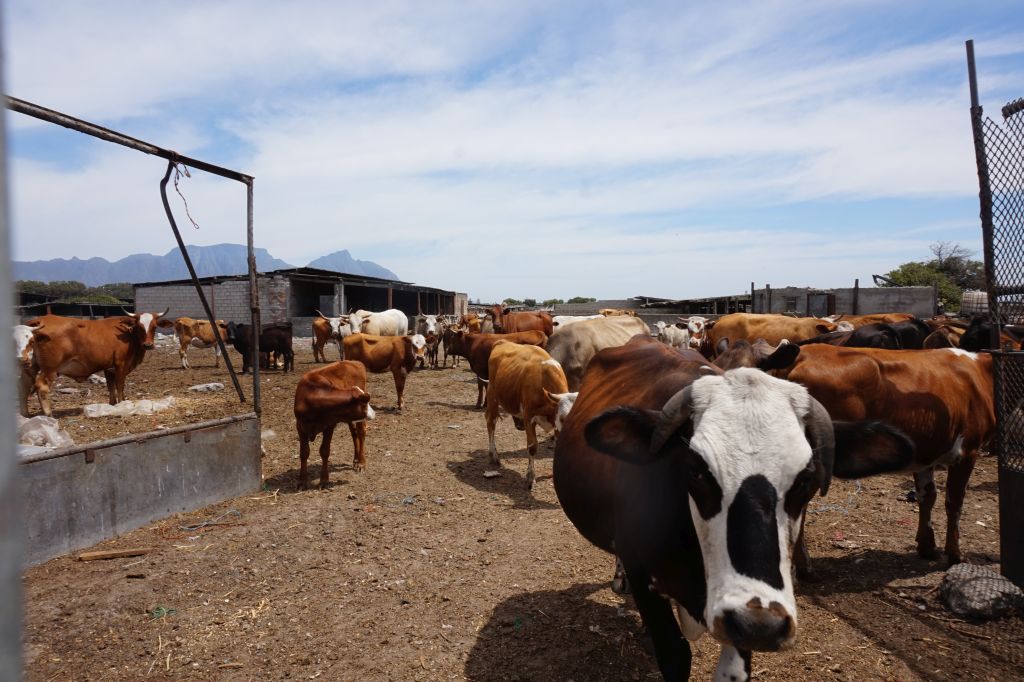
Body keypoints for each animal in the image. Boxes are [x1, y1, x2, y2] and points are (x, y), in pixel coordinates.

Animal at [24, 307, 169, 413]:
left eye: (154, 327)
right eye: (139, 326)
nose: (148, 345)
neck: (127, 334)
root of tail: (42, 319)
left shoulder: (108, 368)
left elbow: (111, 387)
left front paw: (112, 405)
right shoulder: (121, 365)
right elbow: (120, 386)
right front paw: (123, 404)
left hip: (33, 365)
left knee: (25, 385)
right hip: (50, 369)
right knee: (41, 387)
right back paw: (48, 414)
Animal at [485, 342, 577, 485]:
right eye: (563, 418)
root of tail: (502, 341)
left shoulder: (556, 425)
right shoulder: (528, 417)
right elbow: (532, 446)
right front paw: (530, 476)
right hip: (492, 395)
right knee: (491, 423)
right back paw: (493, 455)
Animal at [774, 346, 991, 561]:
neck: (980, 372)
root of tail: (803, 353)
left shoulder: (925, 456)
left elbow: (927, 496)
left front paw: (927, 548)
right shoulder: (967, 452)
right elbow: (955, 502)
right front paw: (955, 554)